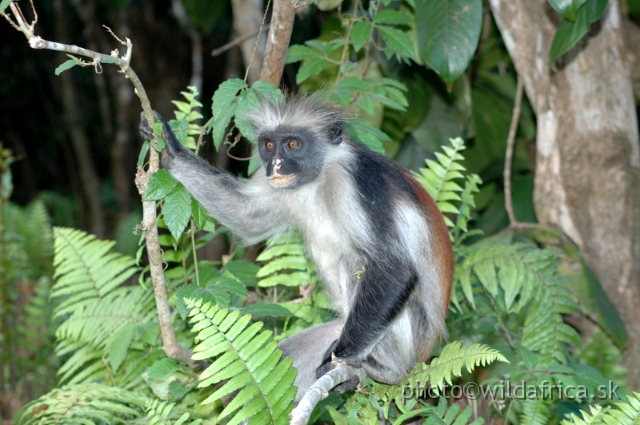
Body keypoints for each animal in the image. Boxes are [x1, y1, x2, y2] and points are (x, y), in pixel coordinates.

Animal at [139, 95, 456, 400]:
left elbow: (395, 268)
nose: (277, 164)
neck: (320, 178)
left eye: (293, 144)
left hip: (410, 335)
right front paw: (169, 149)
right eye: (269, 145)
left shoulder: (361, 180)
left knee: (357, 263)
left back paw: (385, 369)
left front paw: (341, 359)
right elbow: (246, 218)